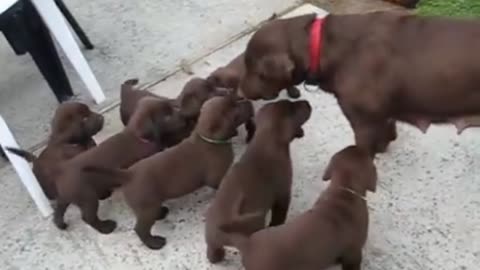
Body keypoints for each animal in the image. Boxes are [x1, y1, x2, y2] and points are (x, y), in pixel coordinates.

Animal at [205, 100, 312, 262]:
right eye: (293, 108)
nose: (307, 102)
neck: (267, 140)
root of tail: (223, 227)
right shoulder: (283, 194)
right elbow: (279, 216)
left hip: (211, 240)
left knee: (213, 251)